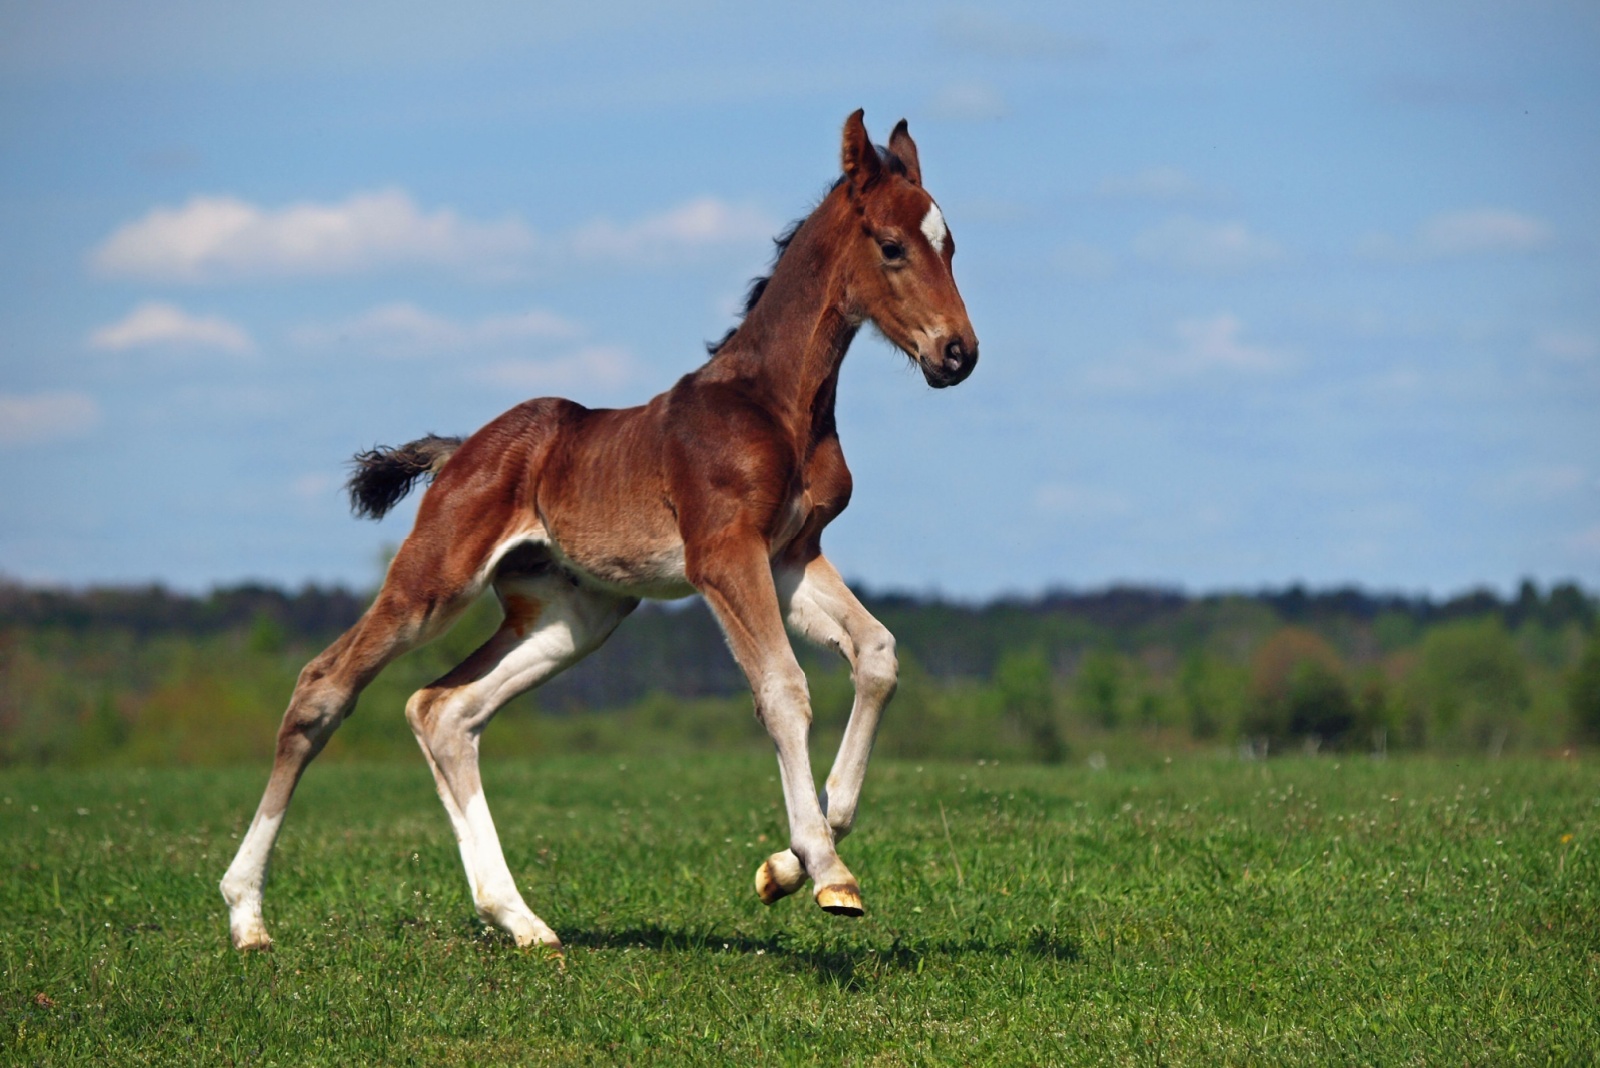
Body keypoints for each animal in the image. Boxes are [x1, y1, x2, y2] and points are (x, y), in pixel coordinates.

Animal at [219, 112, 972, 952]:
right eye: (891, 245)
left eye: (951, 245)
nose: (957, 353)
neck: (776, 405)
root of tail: (462, 450)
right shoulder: (723, 555)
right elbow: (782, 689)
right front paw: (826, 871)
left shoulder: (791, 555)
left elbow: (877, 655)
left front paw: (787, 865)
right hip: (436, 582)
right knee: (325, 686)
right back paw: (247, 915)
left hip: (573, 614)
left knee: (443, 711)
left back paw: (519, 919)